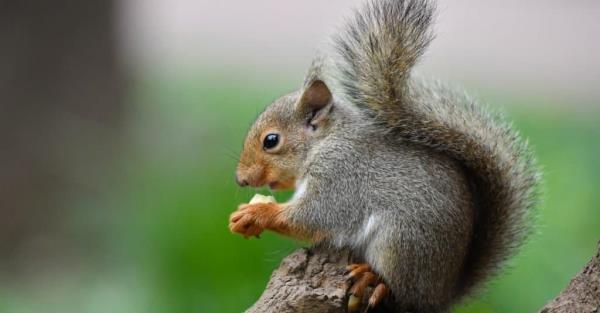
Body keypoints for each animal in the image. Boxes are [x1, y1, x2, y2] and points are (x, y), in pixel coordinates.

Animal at [227, 0, 540, 310]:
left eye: (271, 141)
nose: (241, 179)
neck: (324, 142)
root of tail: (441, 295)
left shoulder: (339, 174)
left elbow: (314, 217)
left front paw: (256, 213)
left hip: (401, 242)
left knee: (398, 288)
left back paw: (373, 279)